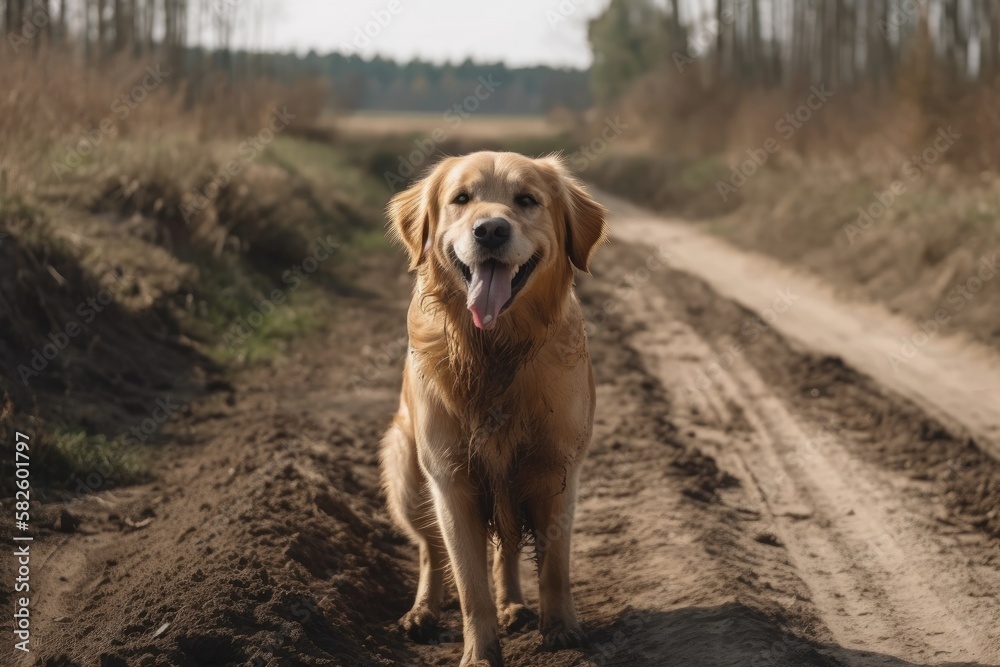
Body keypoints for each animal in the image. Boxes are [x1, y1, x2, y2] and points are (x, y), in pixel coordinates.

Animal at [378, 151, 604, 667]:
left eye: (527, 200)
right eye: (461, 199)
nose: (491, 231)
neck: (495, 350)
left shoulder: (557, 471)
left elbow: (554, 567)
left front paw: (561, 630)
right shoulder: (450, 481)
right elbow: (469, 587)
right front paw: (480, 654)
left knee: (507, 552)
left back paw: (515, 606)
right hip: (405, 472)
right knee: (430, 551)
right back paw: (422, 612)